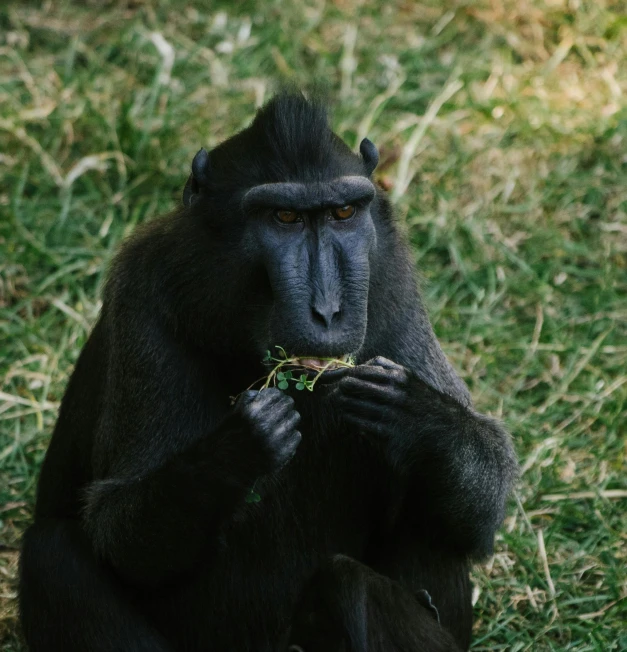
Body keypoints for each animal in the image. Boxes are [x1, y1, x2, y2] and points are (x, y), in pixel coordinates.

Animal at [18, 93, 520, 652]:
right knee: (51, 555)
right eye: (284, 218)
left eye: (343, 212)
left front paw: (417, 415)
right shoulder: (142, 297)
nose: (329, 311)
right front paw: (240, 444)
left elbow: (482, 507)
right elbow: (116, 534)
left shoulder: (394, 284)